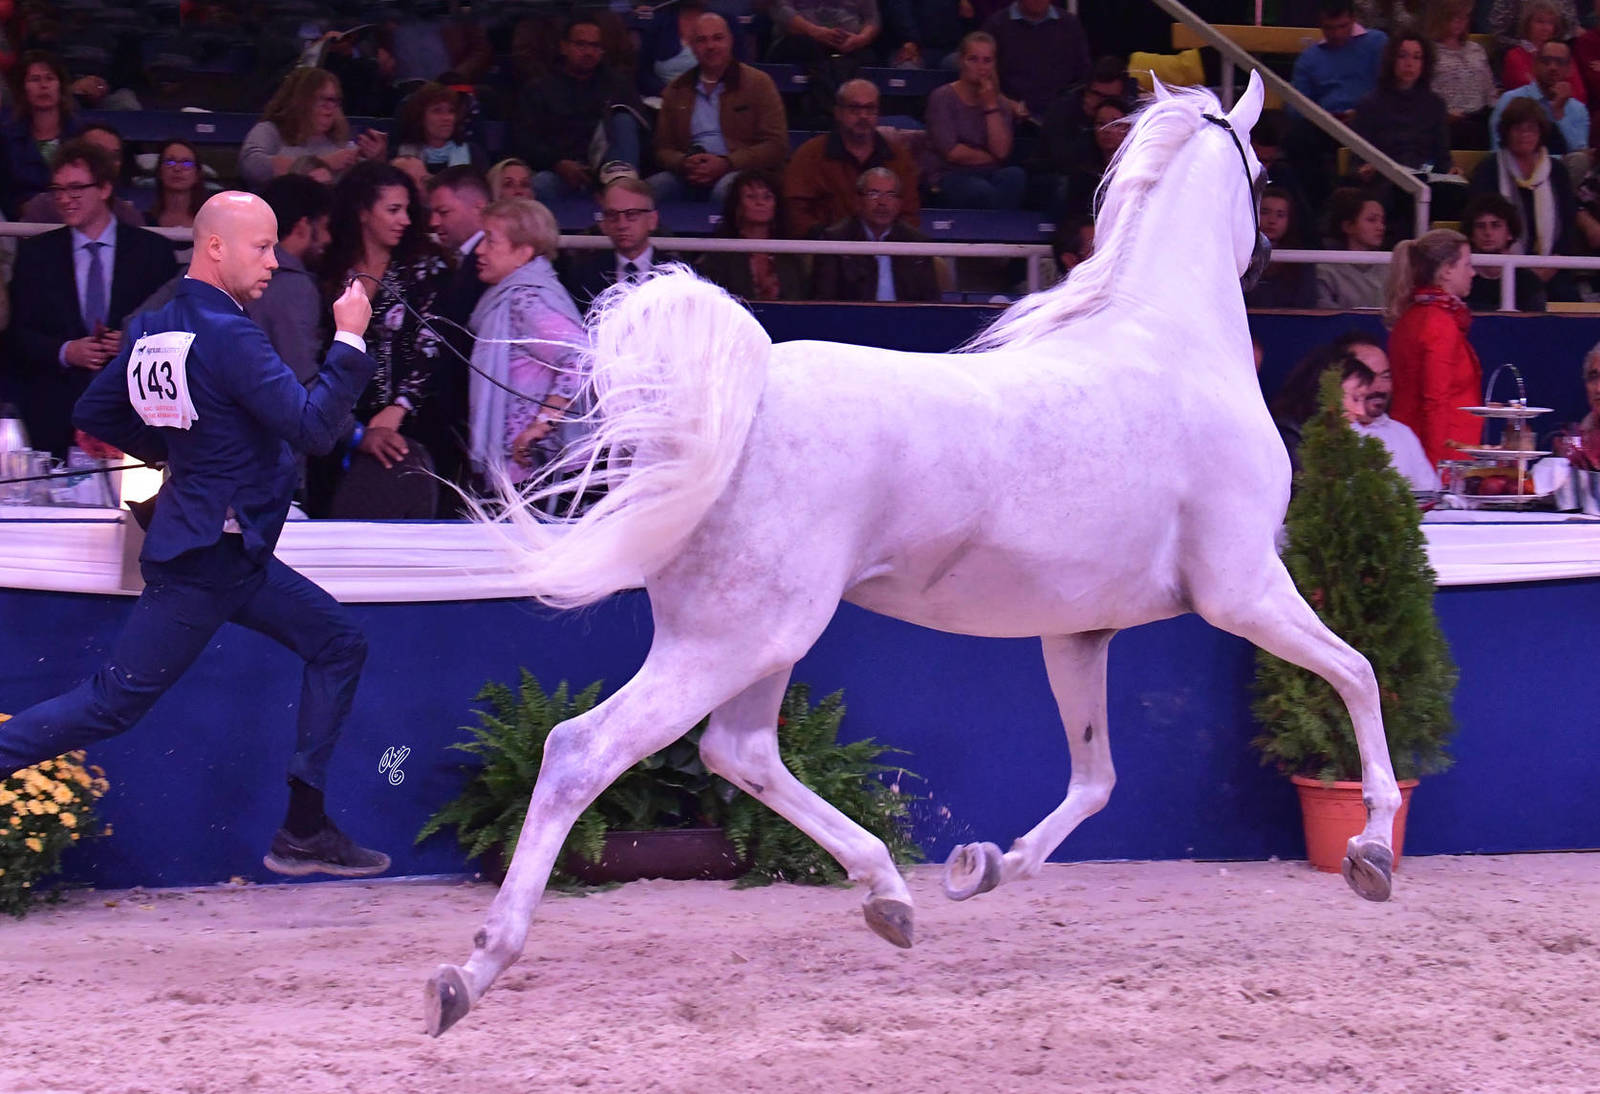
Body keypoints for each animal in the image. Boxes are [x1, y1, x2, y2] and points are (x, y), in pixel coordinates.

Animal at [423, 71, 1403, 1037]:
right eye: (1265, 176)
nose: (1269, 255)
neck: (1171, 346)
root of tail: (736, 402)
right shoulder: (1244, 591)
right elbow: (1358, 673)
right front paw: (1370, 853)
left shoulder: (1081, 633)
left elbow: (1096, 778)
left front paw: (985, 866)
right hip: (735, 639)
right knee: (583, 751)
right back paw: (471, 971)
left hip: (757, 640)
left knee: (740, 752)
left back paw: (891, 895)